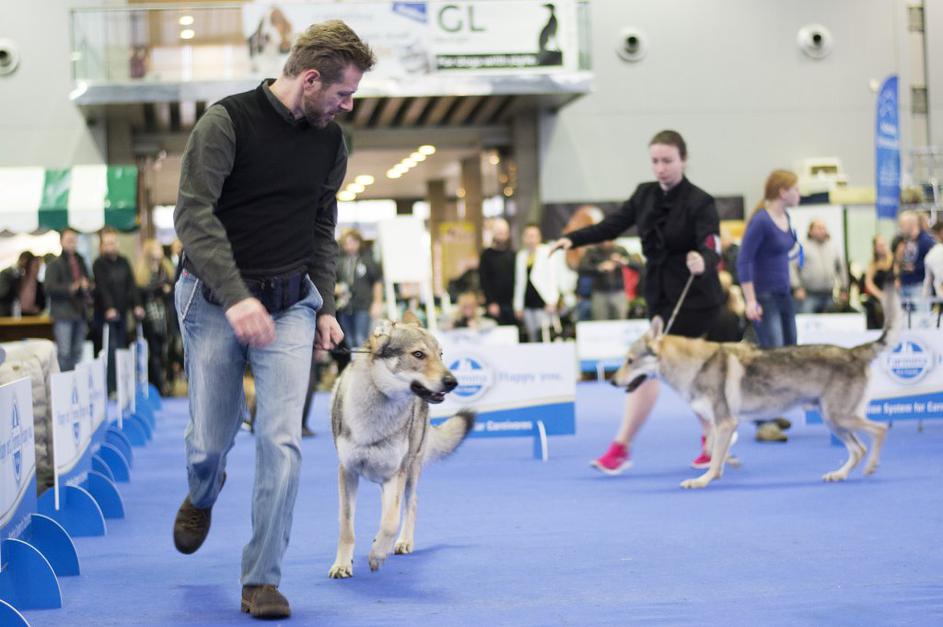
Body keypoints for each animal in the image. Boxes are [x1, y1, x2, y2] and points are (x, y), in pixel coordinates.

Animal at [328, 316, 475, 578]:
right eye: (418, 354)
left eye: (440, 354)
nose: (453, 382)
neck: (374, 417)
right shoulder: (347, 472)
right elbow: (347, 527)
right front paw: (342, 565)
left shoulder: (395, 474)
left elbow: (391, 522)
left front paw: (377, 554)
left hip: (410, 471)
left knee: (411, 505)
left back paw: (402, 542)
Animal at [611, 299, 899, 489]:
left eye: (629, 360)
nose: (612, 381)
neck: (693, 367)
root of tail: (853, 351)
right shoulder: (720, 424)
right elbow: (715, 450)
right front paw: (726, 465)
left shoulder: (725, 422)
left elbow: (714, 456)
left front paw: (702, 480)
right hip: (833, 421)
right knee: (859, 448)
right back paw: (839, 475)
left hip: (837, 418)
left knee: (880, 430)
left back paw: (871, 467)